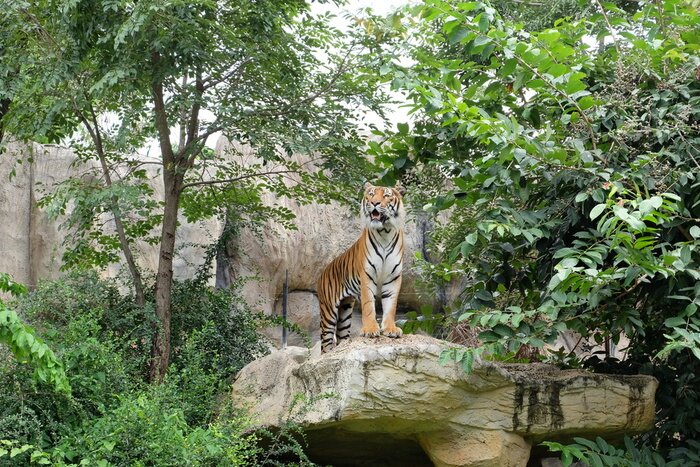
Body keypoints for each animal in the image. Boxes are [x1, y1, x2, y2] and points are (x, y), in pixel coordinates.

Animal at [316, 182, 406, 353]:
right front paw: (370, 330)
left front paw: (390, 329)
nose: (375, 203)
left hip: (345, 311)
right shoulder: (367, 276)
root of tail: (324, 271)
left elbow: (390, 306)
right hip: (329, 311)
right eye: (371, 194)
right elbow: (368, 305)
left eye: (386, 195)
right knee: (325, 342)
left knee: (342, 336)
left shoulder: (393, 278)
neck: (385, 232)